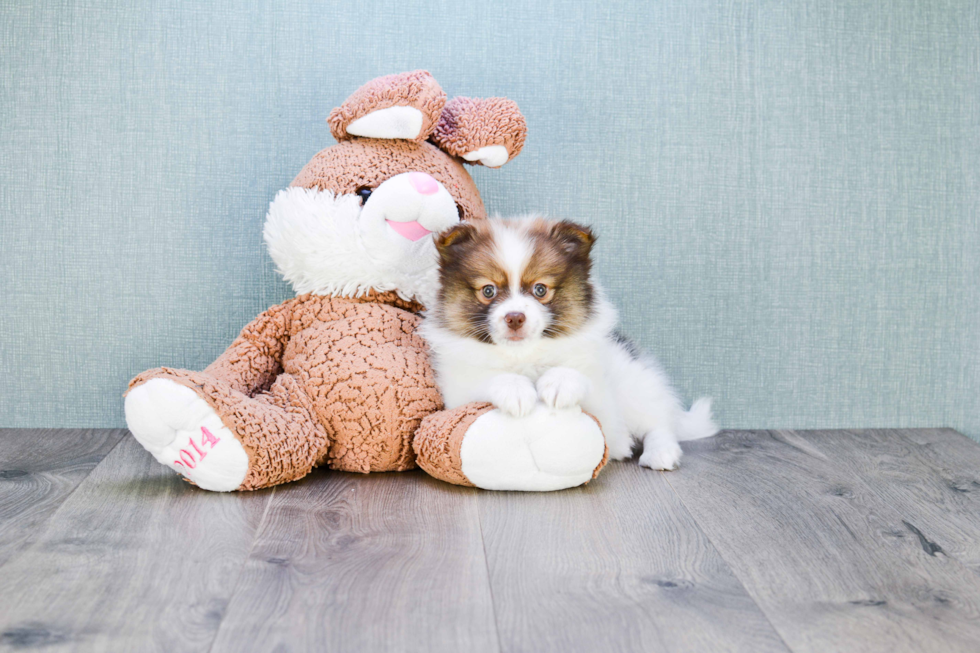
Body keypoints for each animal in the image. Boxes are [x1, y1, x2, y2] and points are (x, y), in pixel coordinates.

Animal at [422, 218, 720, 468]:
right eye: (488, 290)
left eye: (540, 289)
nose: (515, 317)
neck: (525, 355)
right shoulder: (458, 392)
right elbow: (486, 378)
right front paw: (515, 389)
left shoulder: (602, 400)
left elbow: (581, 378)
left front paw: (560, 383)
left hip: (635, 384)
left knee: (659, 422)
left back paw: (660, 453)